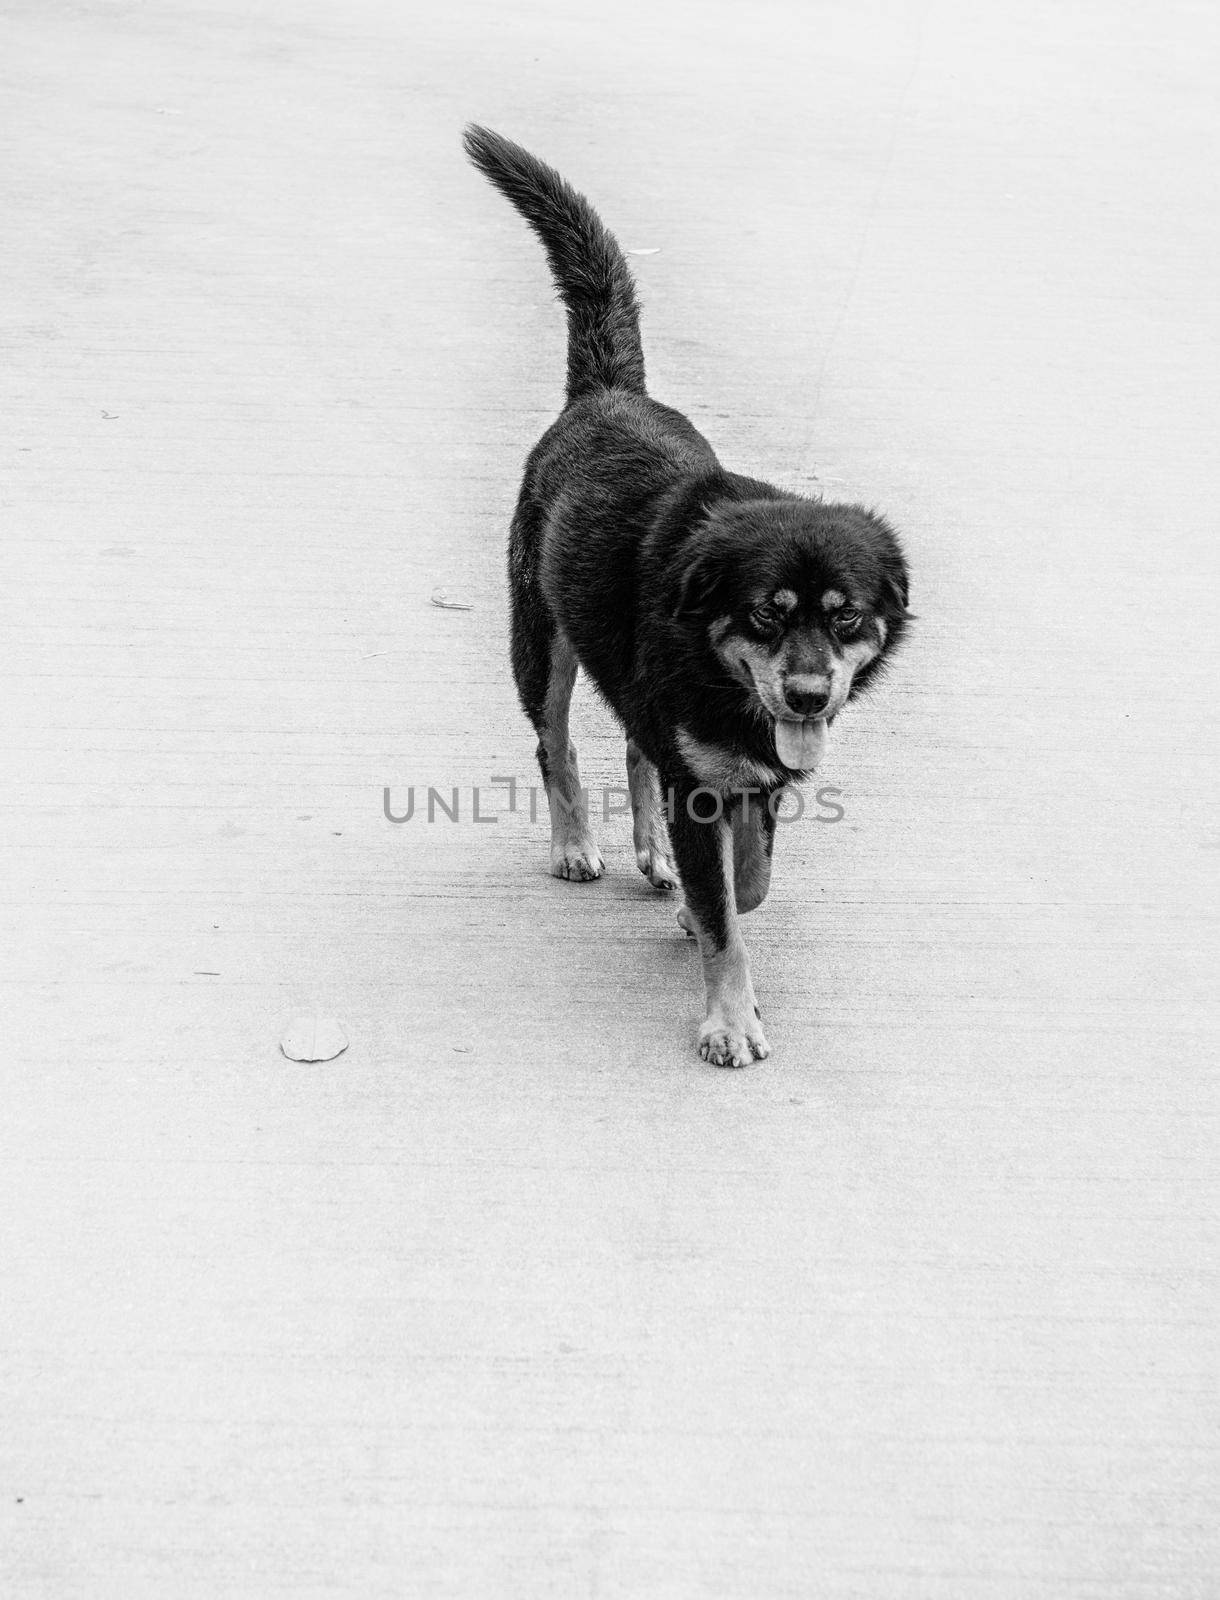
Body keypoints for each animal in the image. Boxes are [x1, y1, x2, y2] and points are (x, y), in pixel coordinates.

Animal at [461, 124, 909, 1062]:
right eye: (766, 612)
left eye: (846, 615)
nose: (807, 695)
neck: (718, 669)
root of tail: (607, 391)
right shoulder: (705, 778)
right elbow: (728, 919)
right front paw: (730, 1020)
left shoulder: (751, 774)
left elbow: (751, 880)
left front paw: (705, 903)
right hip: (541, 640)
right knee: (555, 744)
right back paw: (576, 842)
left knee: (637, 748)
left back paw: (653, 853)